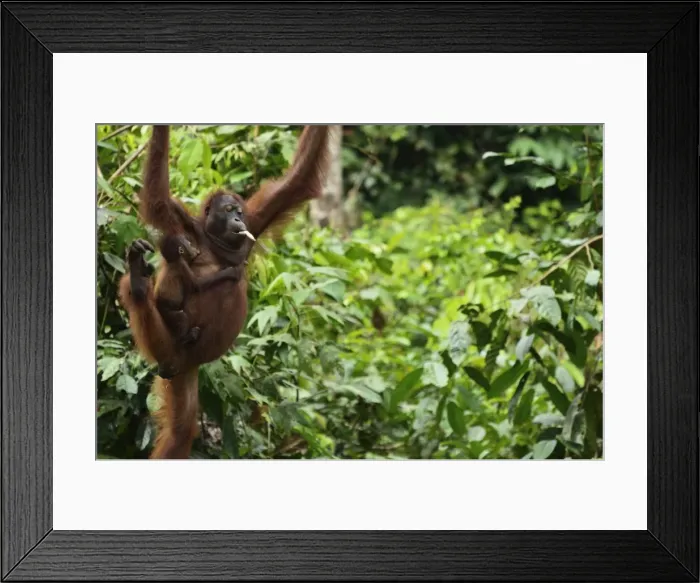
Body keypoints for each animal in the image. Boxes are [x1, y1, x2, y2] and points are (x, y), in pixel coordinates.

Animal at [118, 124, 332, 459]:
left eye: (239, 212)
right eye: (228, 210)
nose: (236, 218)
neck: (215, 241)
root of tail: (179, 362)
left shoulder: (255, 222)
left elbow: (297, 179)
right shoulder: (185, 225)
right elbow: (157, 200)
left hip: (181, 372)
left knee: (181, 431)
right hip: (167, 346)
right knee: (145, 300)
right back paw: (139, 282)